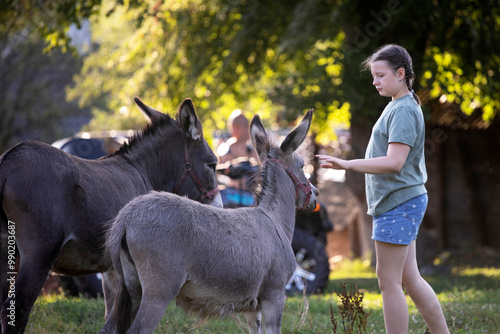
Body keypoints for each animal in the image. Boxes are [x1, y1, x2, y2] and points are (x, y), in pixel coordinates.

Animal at [102, 109, 316, 334]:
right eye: (303, 166)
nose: (316, 195)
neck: (274, 218)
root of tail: (127, 217)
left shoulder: (253, 306)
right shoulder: (274, 296)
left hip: (127, 287)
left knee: (109, 327)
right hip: (158, 292)